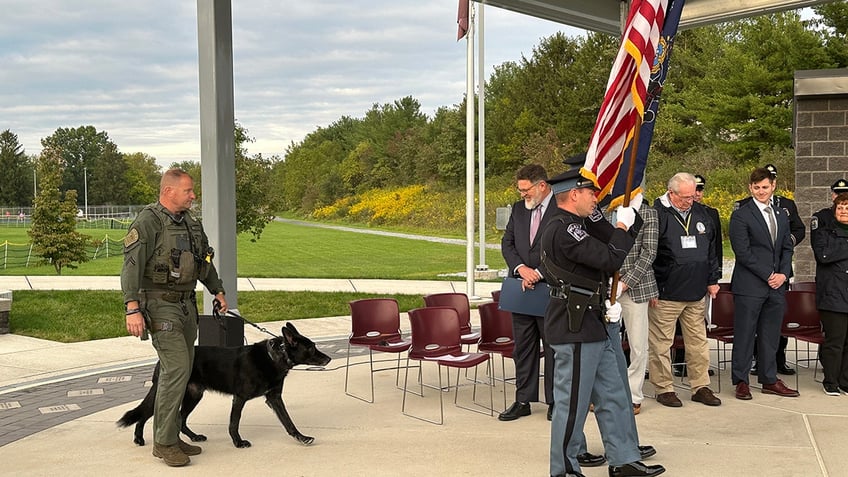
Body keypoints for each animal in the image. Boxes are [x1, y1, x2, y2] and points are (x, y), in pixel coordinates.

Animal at [119, 322, 332, 448]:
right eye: (311, 348)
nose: (329, 358)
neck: (275, 357)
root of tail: (161, 362)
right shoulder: (240, 398)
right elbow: (234, 423)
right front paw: (238, 442)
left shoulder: (274, 398)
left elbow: (288, 421)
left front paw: (301, 437)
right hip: (172, 392)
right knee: (145, 414)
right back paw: (139, 438)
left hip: (194, 395)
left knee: (180, 418)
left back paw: (192, 438)